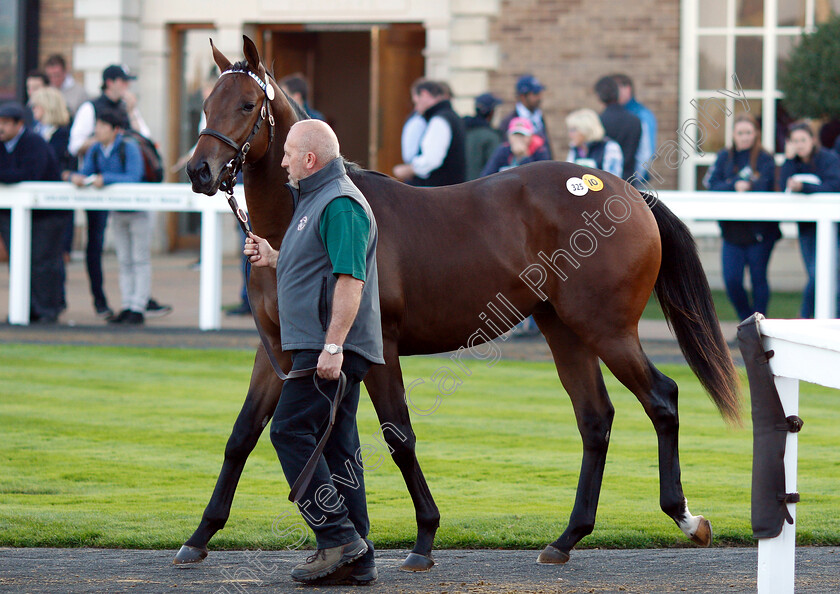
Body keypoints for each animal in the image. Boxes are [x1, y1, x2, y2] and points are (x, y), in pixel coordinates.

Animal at [177, 35, 740, 568]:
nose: (200, 171)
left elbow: (398, 437)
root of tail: (626, 191)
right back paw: (566, 538)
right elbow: (243, 435)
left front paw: (424, 537)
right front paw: (199, 536)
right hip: (563, 329)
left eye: (247, 104)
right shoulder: (279, 351)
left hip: (607, 328)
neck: (297, 222)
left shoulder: (377, 348)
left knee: (662, 399)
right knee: (595, 419)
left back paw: (686, 517)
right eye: (205, 103)